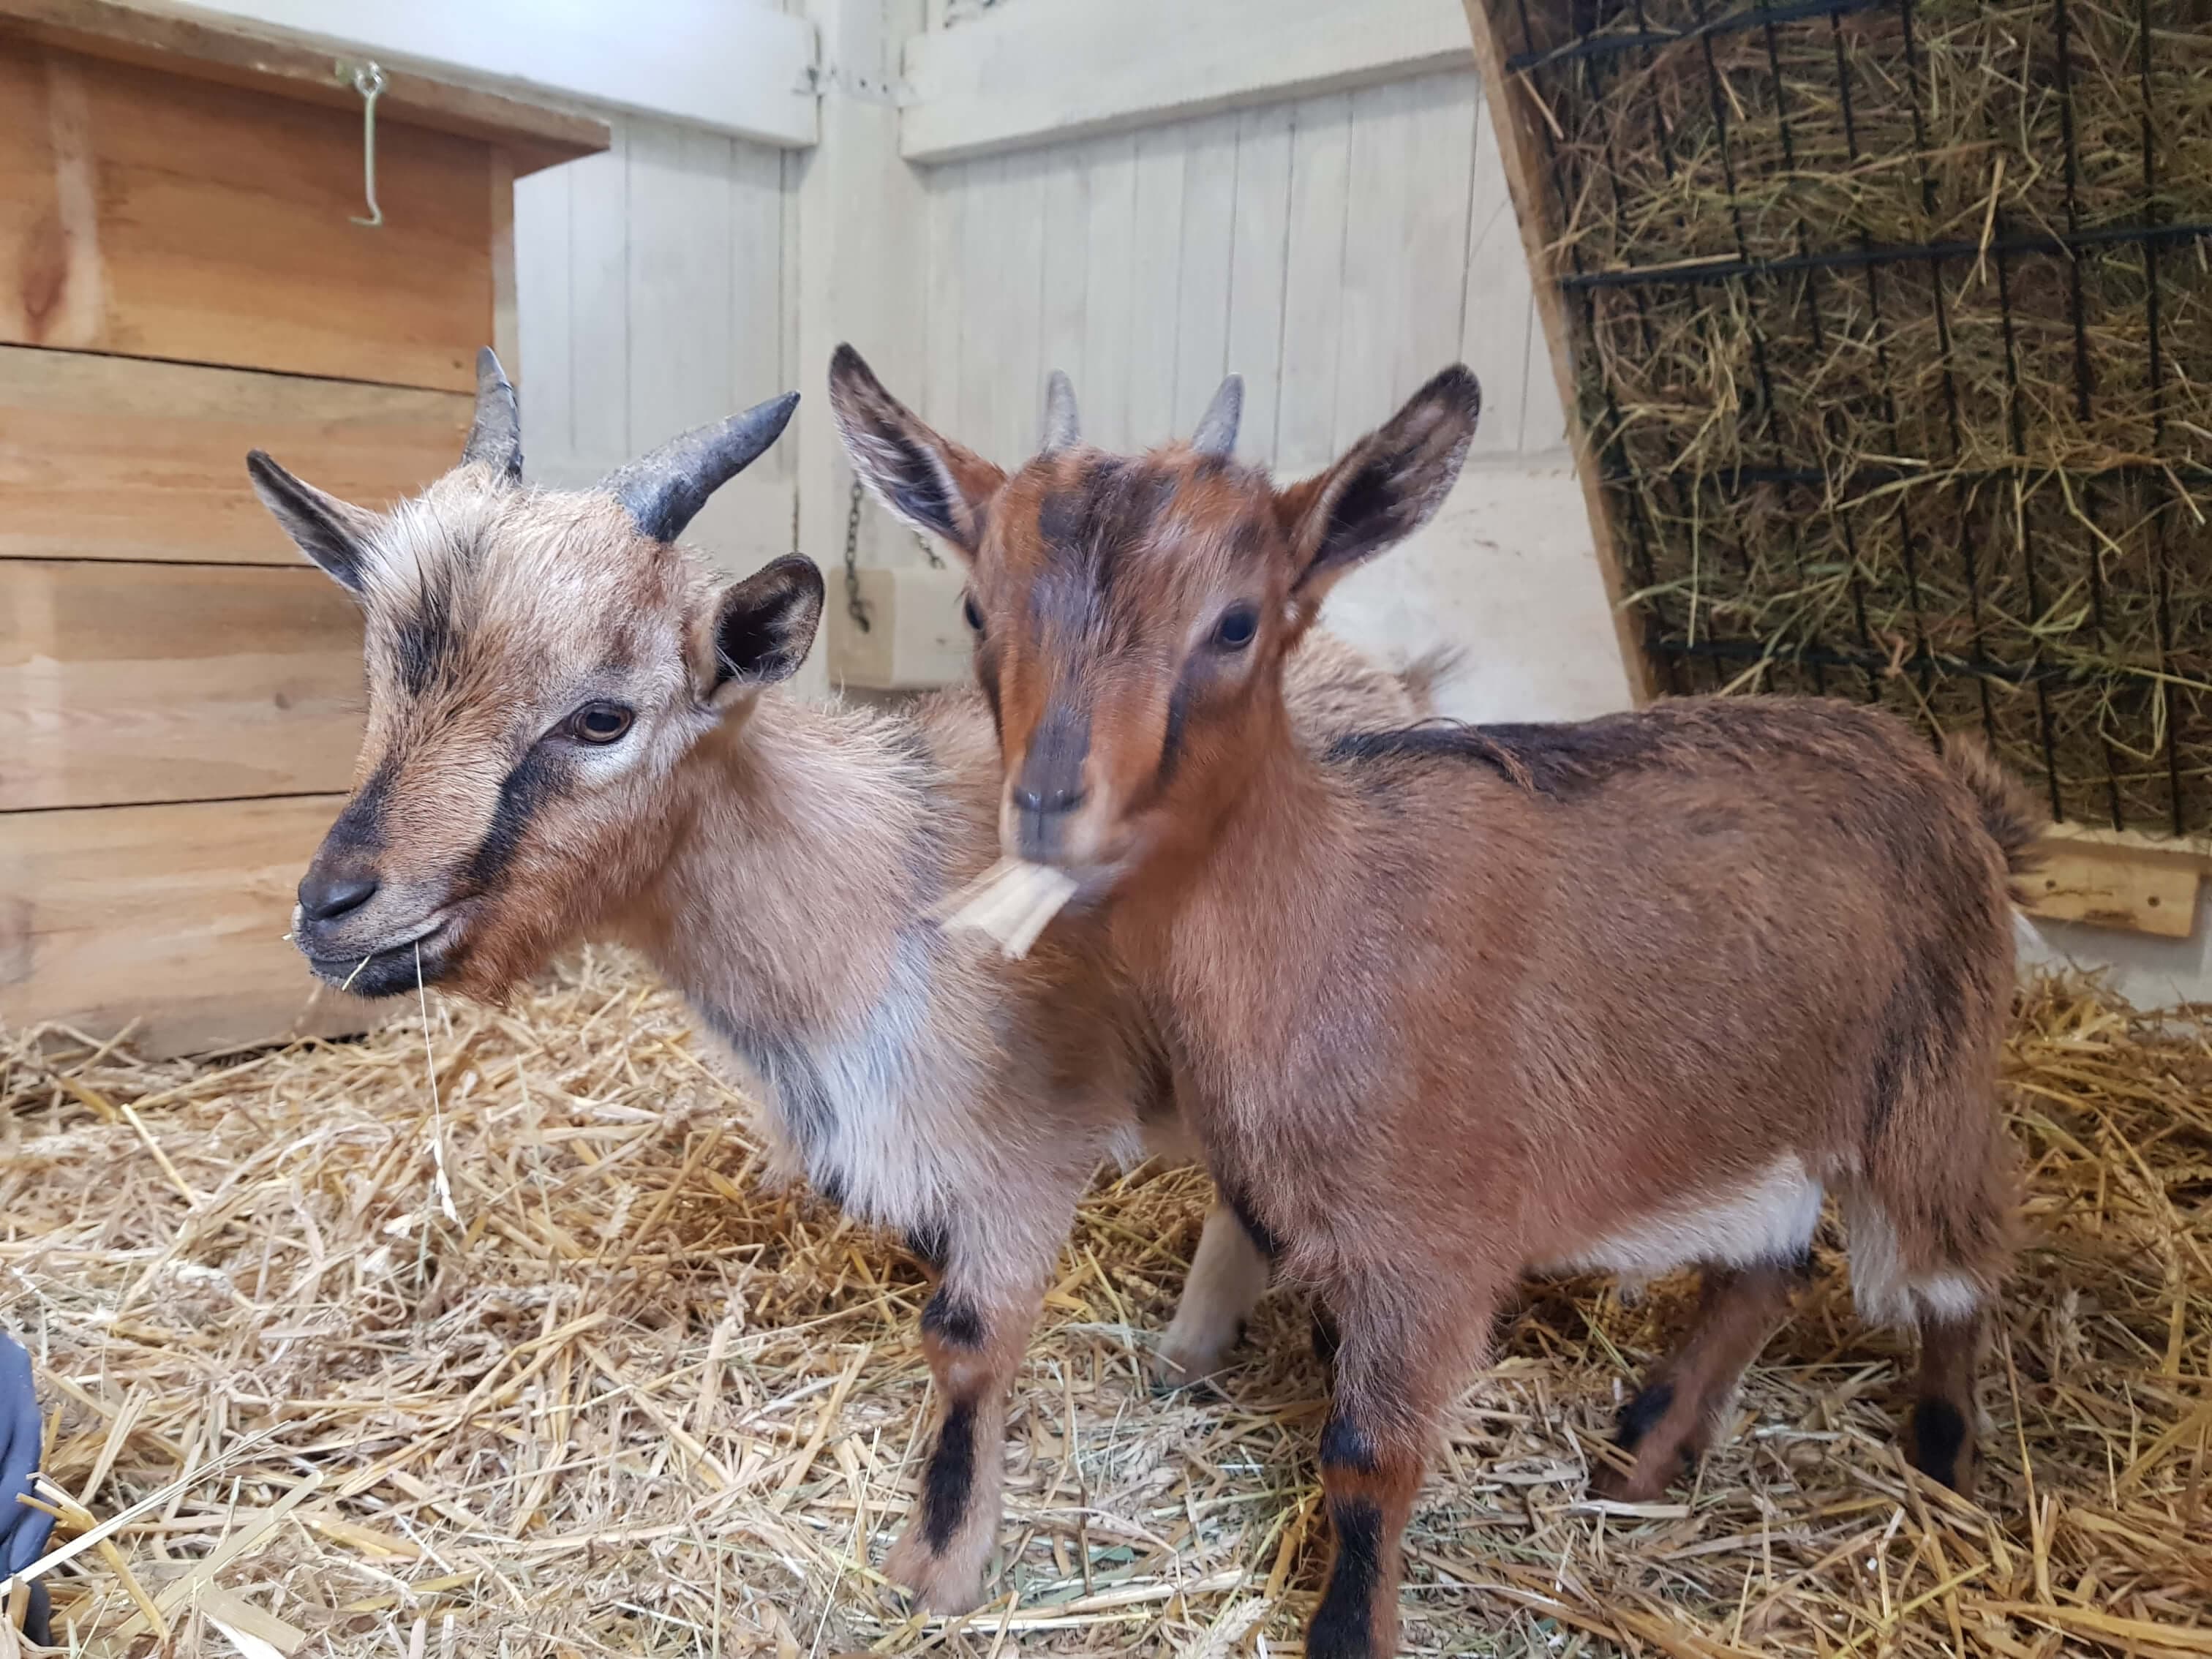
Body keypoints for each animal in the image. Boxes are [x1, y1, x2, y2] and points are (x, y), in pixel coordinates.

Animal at [832, 347, 2035, 1659]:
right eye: (976, 610)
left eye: (1235, 619)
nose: (1049, 803)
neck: (1329, 919)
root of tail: (1952, 786)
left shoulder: (1432, 1252)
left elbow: (1367, 1455)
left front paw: (1348, 1631)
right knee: (1768, 1266)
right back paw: (1642, 1454)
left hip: (1928, 1093)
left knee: (1956, 1268)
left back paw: (1941, 1464)